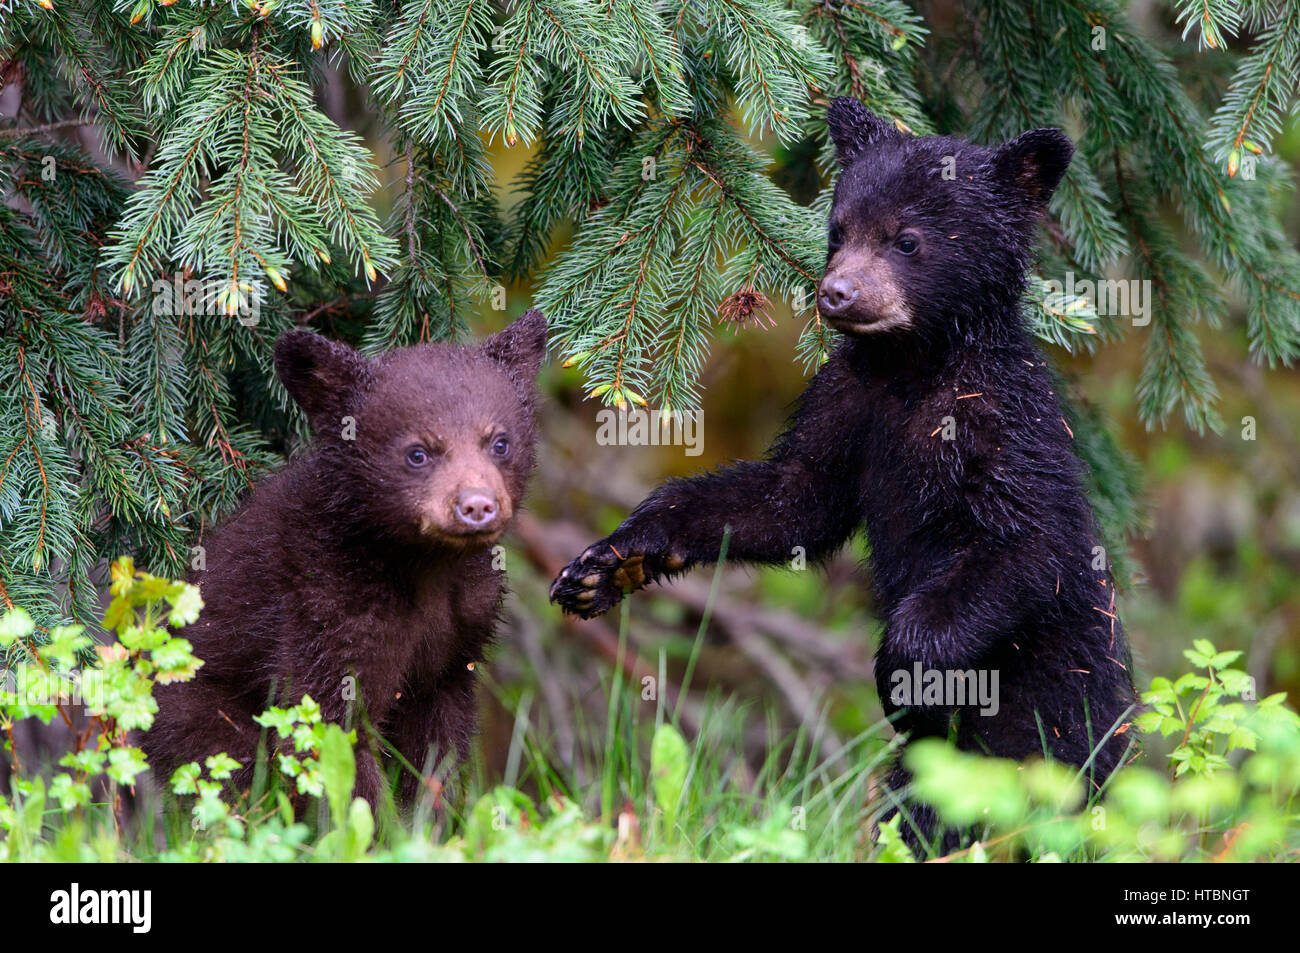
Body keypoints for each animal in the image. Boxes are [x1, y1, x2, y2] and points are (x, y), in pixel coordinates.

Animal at [144, 309, 548, 809]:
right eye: (418, 453)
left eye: (499, 442)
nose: (476, 505)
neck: (422, 567)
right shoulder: (325, 611)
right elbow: (328, 731)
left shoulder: (457, 645)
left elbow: (439, 750)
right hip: (195, 716)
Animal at [548, 99, 1138, 850]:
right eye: (838, 232)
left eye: (906, 240)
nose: (837, 292)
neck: (912, 371)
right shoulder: (846, 399)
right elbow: (795, 497)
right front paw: (611, 558)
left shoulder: (1006, 426)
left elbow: (1028, 545)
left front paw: (903, 676)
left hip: (1052, 724)